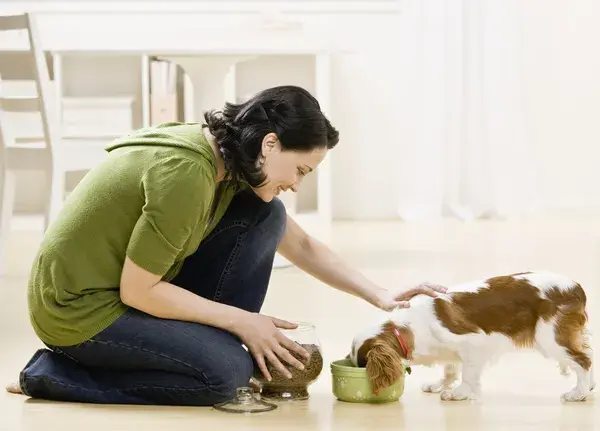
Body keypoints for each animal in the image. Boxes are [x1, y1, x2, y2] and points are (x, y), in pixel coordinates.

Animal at [350, 272, 592, 404]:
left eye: (362, 364)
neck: (408, 326)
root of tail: (576, 286)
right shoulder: (451, 350)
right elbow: (450, 369)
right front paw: (439, 385)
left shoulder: (474, 343)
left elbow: (468, 374)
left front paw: (459, 393)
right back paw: (589, 388)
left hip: (551, 338)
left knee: (584, 361)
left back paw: (578, 394)